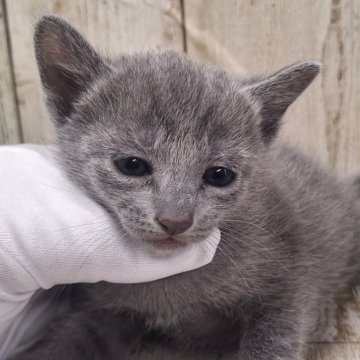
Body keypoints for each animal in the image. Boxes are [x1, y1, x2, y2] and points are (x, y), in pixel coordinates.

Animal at [9, 16, 360, 360]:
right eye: (132, 165)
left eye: (219, 175)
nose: (175, 220)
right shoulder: (104, 308)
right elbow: (71, 337)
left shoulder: (290, 278)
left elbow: (276, 337)